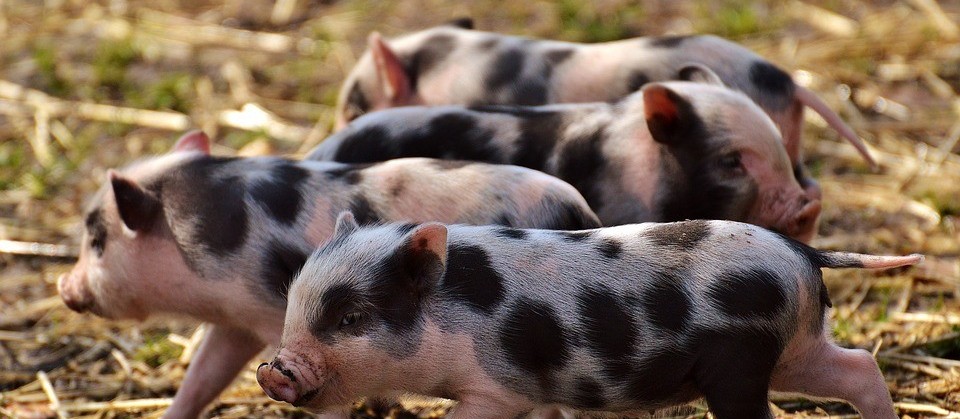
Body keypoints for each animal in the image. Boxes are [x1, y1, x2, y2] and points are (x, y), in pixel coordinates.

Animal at [258, 213, 920, 419]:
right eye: (294, 307)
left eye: (350, 318)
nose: (272, 370)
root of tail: (801, 251)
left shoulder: (495, 388)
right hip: (793, 349)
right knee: (858, 367)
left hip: (739, 361)